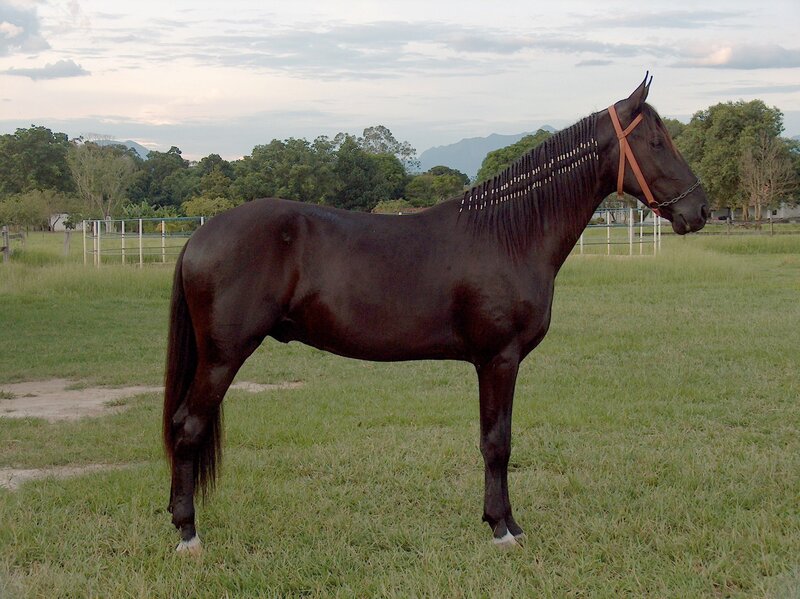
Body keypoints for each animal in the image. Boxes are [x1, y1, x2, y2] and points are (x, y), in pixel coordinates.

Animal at [163, 75, 709, 554]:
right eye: (657, 141)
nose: (699, 210)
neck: (508, 235)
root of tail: (199, 235)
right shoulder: (499, 359)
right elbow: (497, 442)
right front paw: (503, 529)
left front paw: (501, 520)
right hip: (222, 357)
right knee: (188, 426)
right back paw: (189, 535)